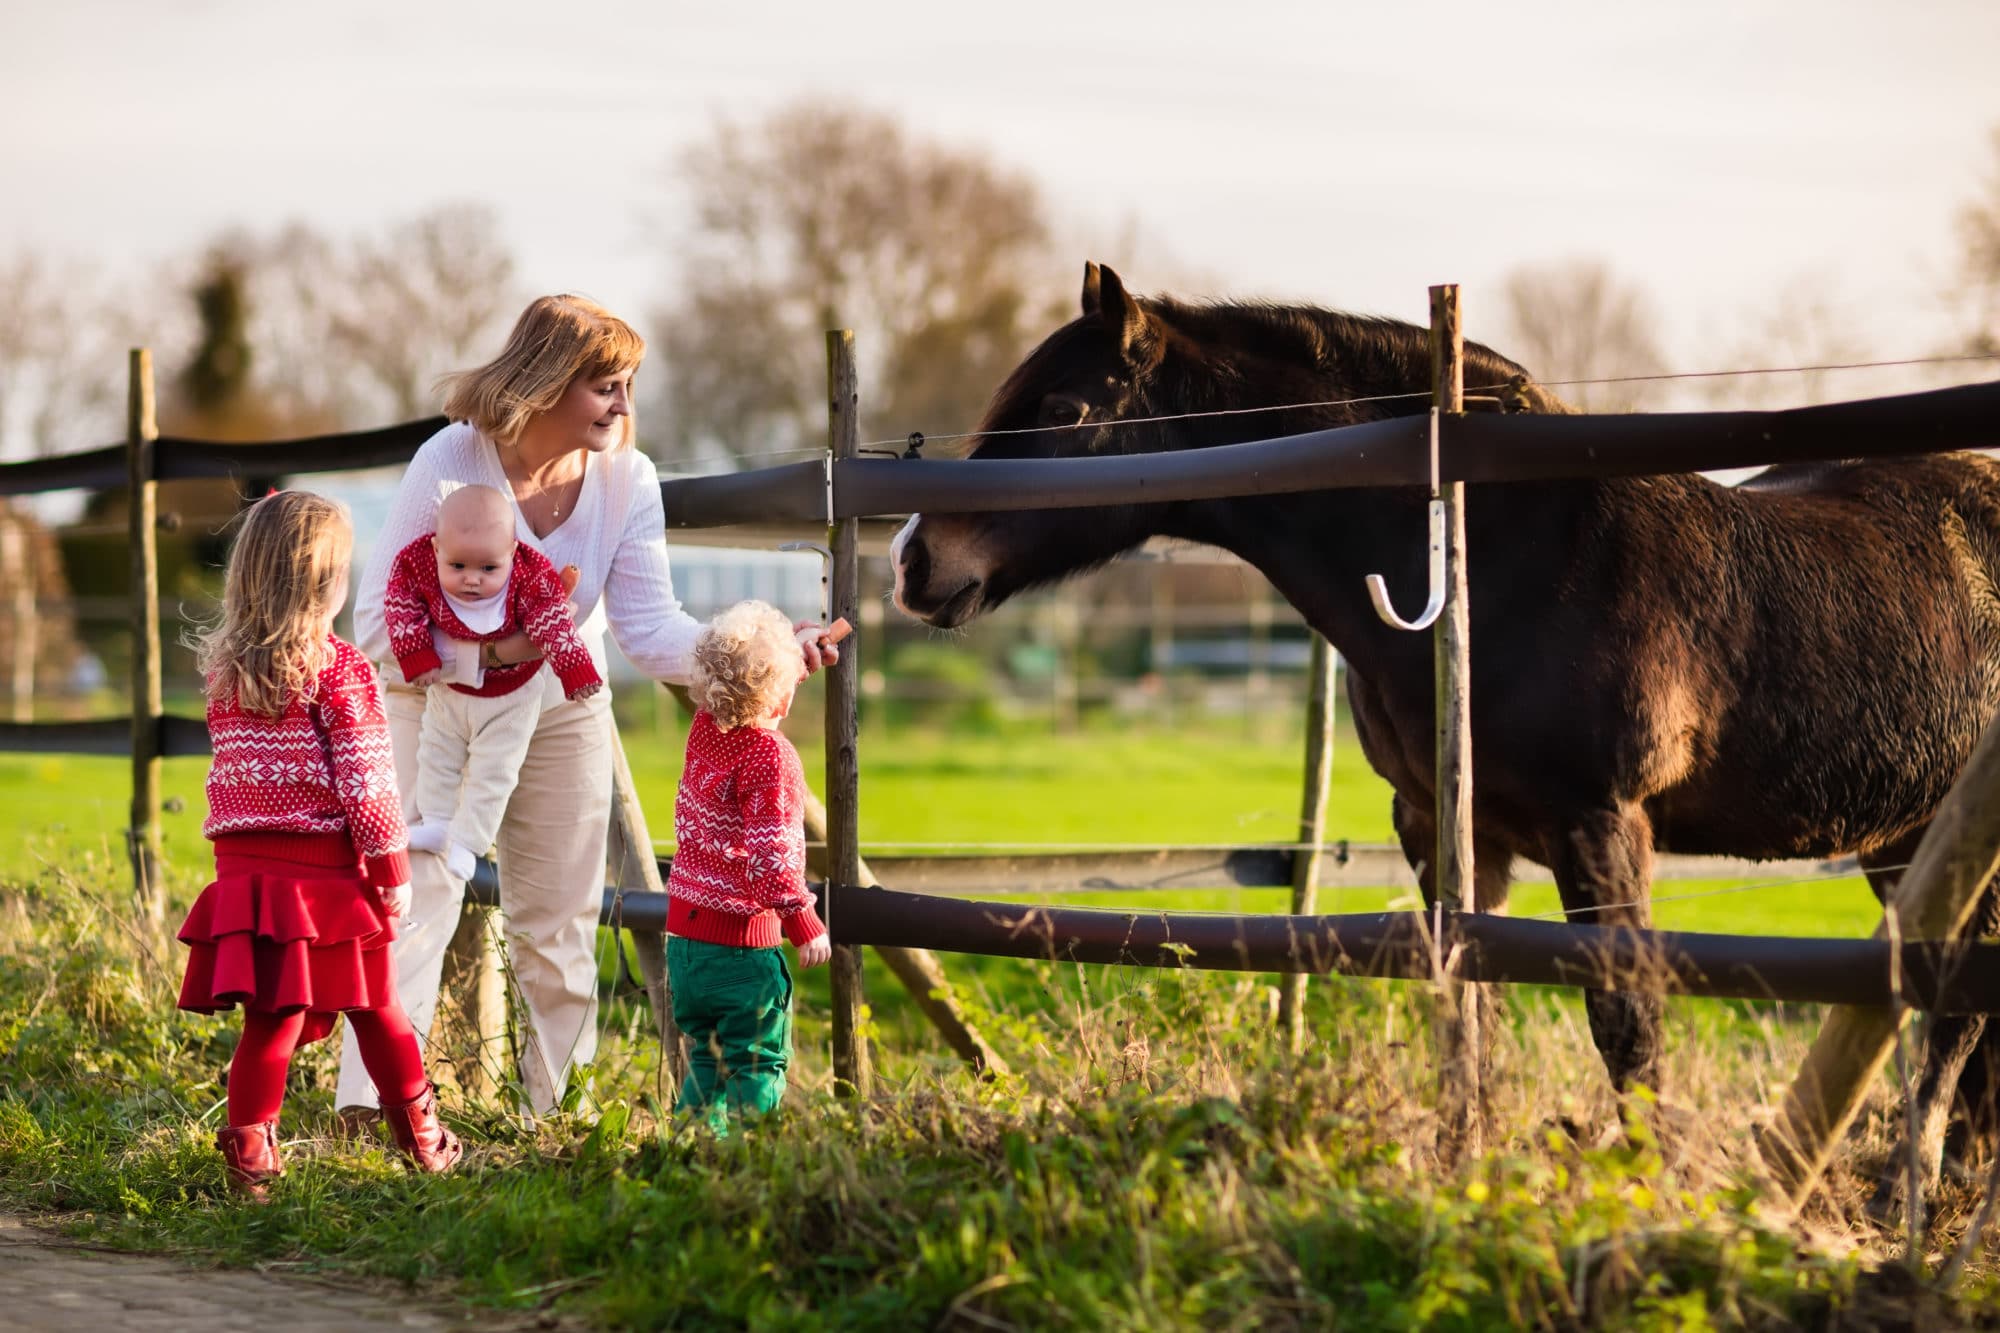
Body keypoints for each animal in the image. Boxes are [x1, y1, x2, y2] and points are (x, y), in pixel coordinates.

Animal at [900, 260, 2000, 1192]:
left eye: (1062, 410)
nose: (915, 559)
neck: (1495, 552)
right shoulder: (1442, 822)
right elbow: (1463, 989)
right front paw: (1462, 1157)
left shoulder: (1599, 819)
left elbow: (1625, 1016)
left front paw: (1649, 1190)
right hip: (1906, 841)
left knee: (1953, 1008)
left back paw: (1909, 1182)